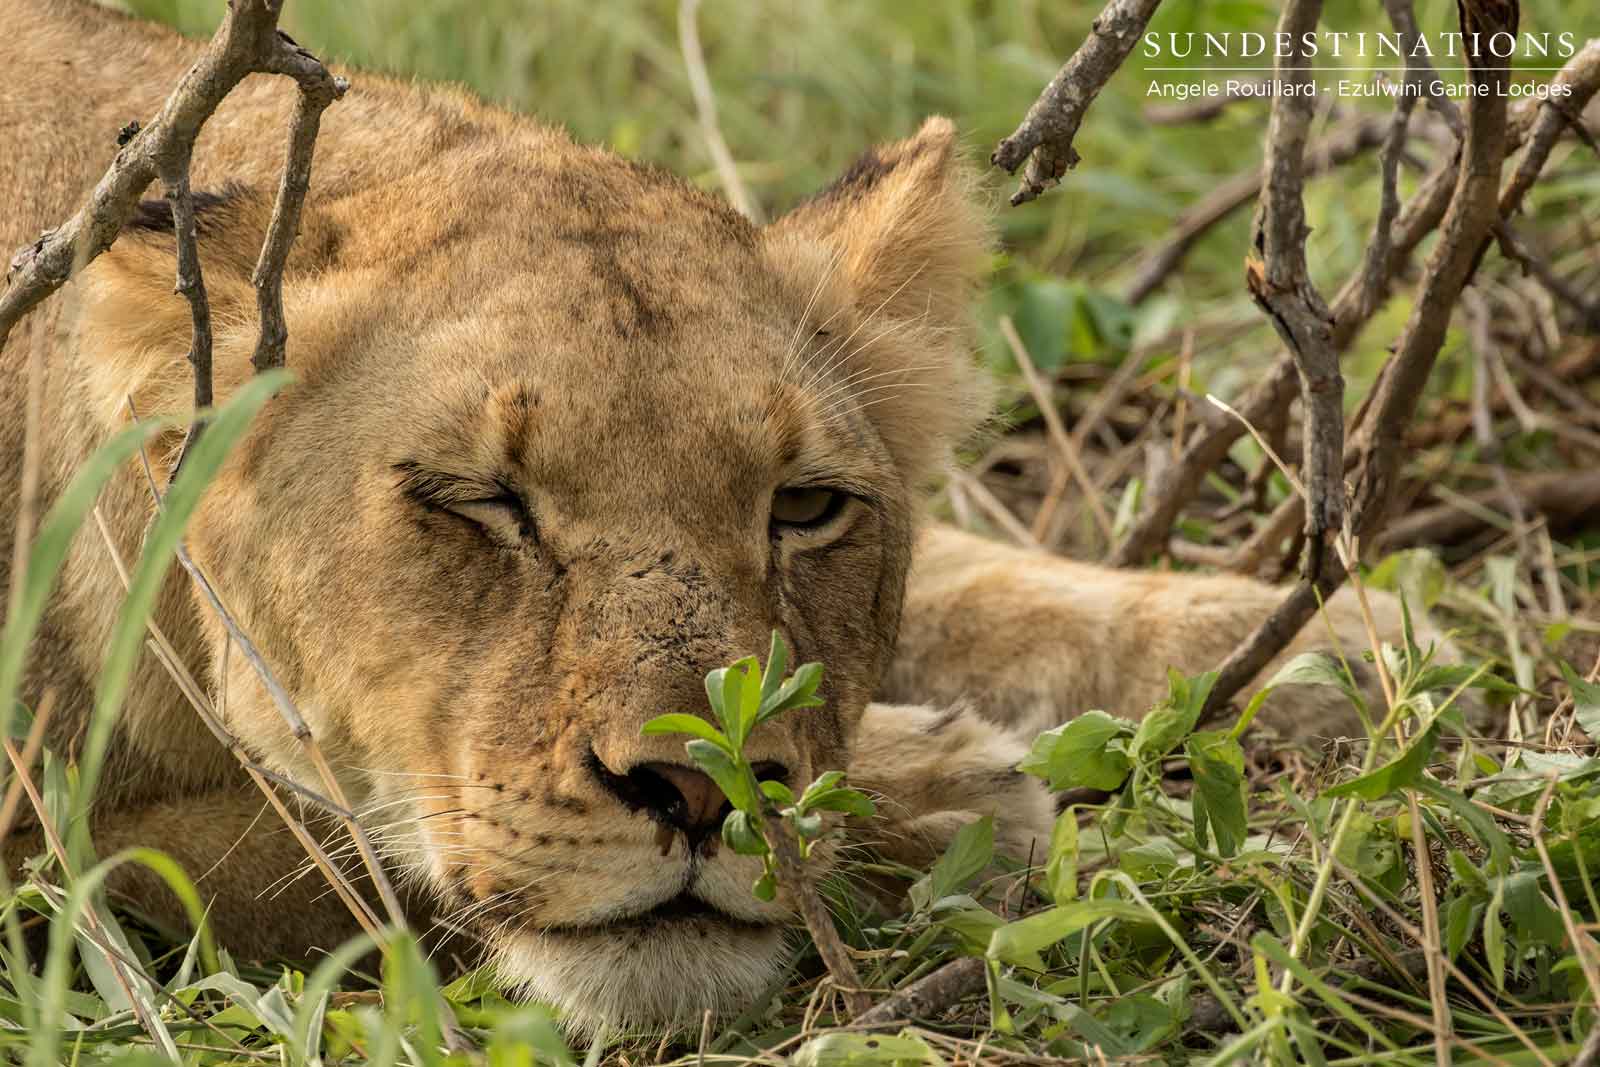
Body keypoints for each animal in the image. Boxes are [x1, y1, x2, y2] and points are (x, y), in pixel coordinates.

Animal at [2, 0, 1410, 1033]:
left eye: (806, 506)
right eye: (481, 500)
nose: (698, 789)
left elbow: (981, 581)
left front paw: (1330, 644)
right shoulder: (55, 855)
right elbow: (324, 853)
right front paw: (953, 791)